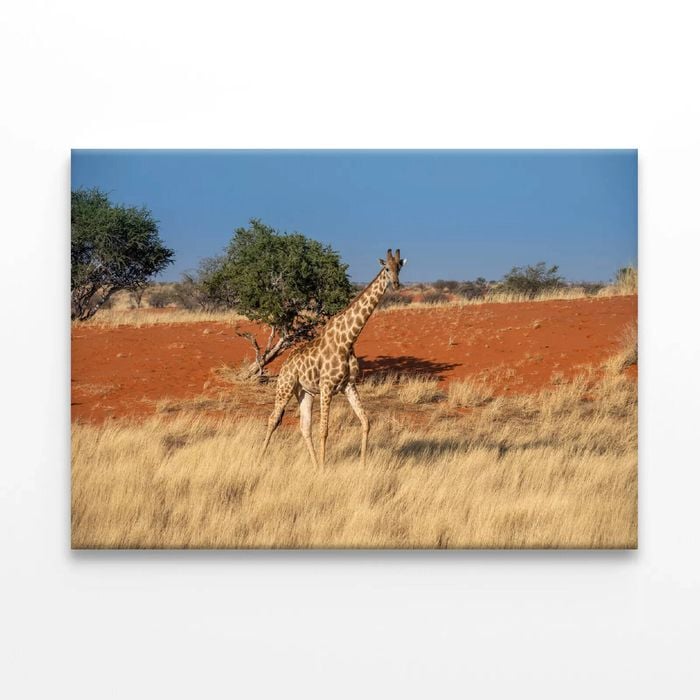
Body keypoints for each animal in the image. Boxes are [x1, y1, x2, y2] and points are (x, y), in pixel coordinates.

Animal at [258, 248, 406, 468]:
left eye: (400, 267)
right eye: (387, 268)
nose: (396, 284)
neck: (348, 340)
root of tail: (285, 364)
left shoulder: (349, 385)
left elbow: (365, 422)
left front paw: (362, 466)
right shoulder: (327, 386)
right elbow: (324, 430)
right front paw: (324, 469)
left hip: (304, 392)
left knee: (304, 426)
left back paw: (313, 464)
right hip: (285, 386)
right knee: (273, 419)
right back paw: (260, 460)